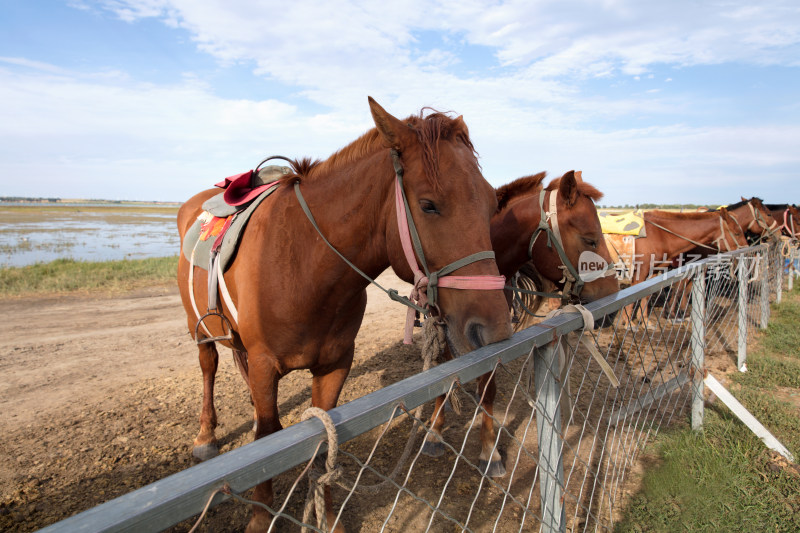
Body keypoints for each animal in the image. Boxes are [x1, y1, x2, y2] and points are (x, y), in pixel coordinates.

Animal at [177, 96, 512, 532]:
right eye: (428, 205)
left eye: (491, 203)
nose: (496, 328)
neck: (303, 264)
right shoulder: (266, 366)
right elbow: (265, 444)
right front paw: (259, 517)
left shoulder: (334, 366)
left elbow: (321, 448)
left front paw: (329, 516)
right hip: (199, 331)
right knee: (209, 367)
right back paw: (206, 438)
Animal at [418, 169, 620, 474]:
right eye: (590, 240)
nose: (612, 304)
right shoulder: (442, 324)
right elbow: (441, 372)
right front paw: (434, 432)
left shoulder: (491, 335)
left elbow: (488, 388)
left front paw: (489, 451)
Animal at [608, 208, 752, 328]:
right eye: (737, 233)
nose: (747, 251)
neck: (659, 234)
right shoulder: (641, 272)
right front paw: (628, 323)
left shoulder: (655, 271)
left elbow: (647, 296)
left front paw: (645, 322)